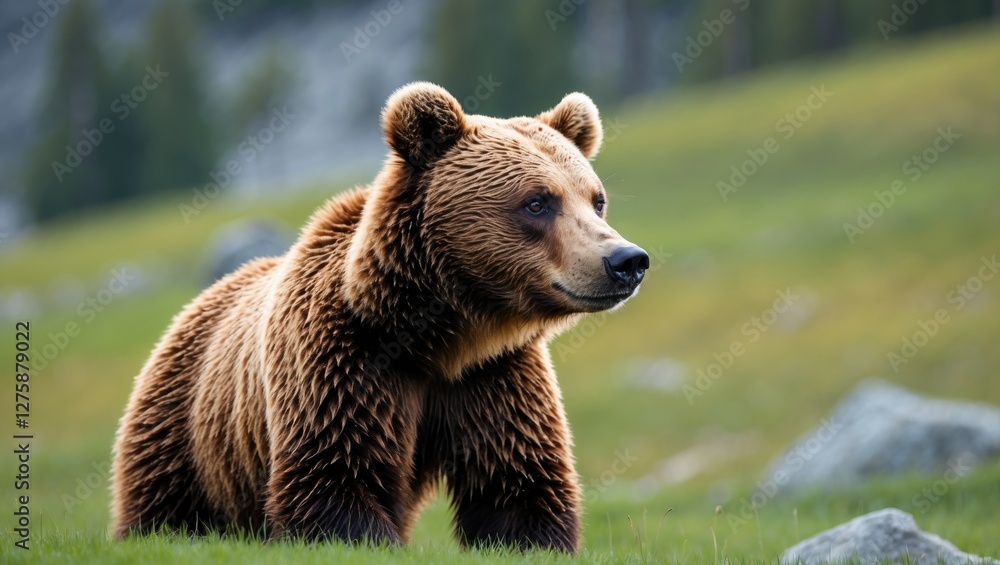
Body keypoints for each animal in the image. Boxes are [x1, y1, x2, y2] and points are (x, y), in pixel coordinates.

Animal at [111, 82, 648, 553]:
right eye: (537, 202)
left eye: (596, 199)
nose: (626, 261)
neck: (440, 334)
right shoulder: (343, 358)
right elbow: (336, 473)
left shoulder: (495, 375)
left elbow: (516, 480)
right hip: (186, 426)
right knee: (165, 501)